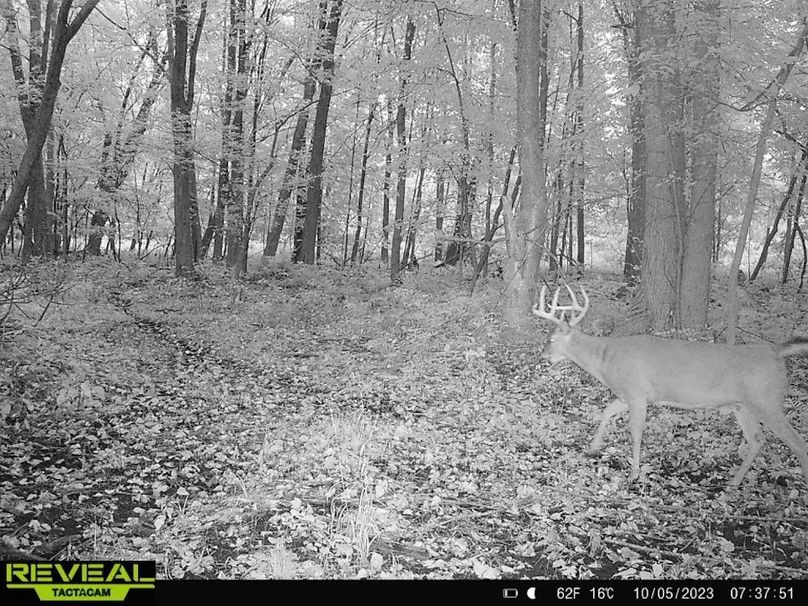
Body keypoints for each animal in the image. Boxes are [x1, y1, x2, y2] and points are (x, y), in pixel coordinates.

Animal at [532, 283, 808, 488]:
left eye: (551, 338)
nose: (543, 356)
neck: (606, 361)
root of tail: (775, 351)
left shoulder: (637, 393)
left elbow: (635, 432)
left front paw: (633, 474)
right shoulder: (626, 395)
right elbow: (606, 411)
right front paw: (593, 448)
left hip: (767, 400)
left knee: (797, 443)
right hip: (743, 405)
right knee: (757, 439)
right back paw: (733, 484)